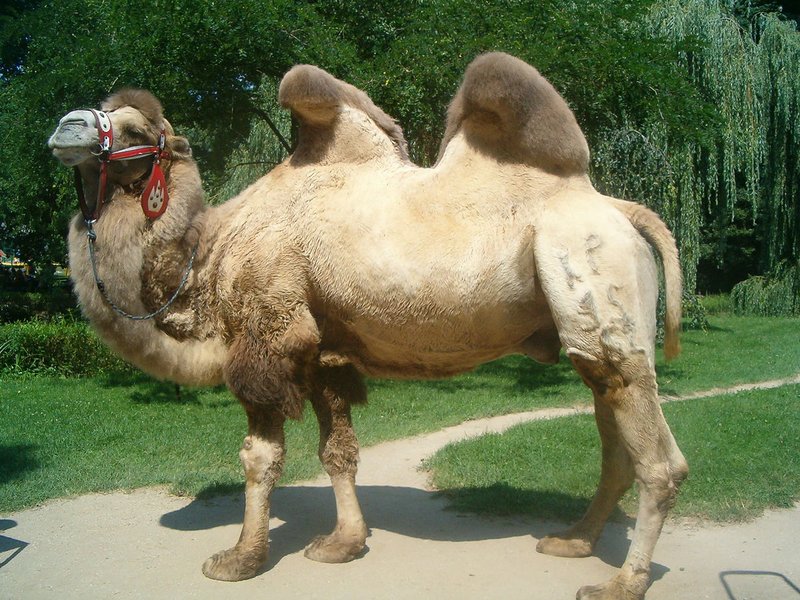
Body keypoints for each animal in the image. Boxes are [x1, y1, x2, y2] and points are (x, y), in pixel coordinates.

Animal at [48, 53, 687, 599]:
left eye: (135, 131)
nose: (64, 125)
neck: (207, 255)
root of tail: (622, 209)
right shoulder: (324, 351)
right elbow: (338, 451)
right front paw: (343, 545)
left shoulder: (269, 335)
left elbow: (259, 456)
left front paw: (239, 560)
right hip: (584, 329)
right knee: (614, 432)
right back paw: (573, 541)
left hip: (590, 270)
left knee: (659, 459)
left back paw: (620, 583)